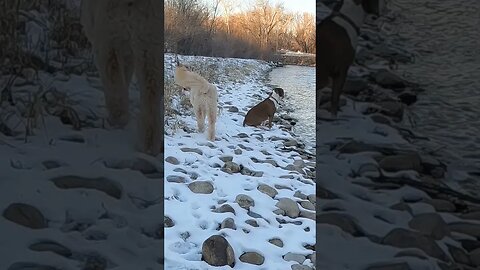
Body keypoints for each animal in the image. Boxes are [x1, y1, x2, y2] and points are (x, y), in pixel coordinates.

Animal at [80, 0, 163, 155]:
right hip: (150, 37)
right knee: (151, 93)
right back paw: (148, 146)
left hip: (110, 34)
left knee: (114, 83)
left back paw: (117, 121)